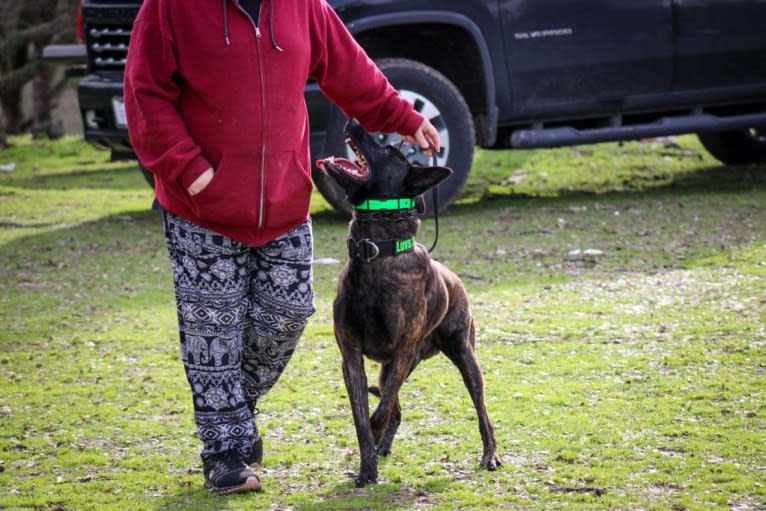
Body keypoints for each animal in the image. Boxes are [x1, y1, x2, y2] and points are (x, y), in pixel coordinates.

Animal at [318, 120, 504, 488]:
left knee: (482, 412)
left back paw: (490, 455)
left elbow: (378, 413)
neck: (375, 252)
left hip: (464, 357)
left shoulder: (402, 350)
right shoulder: (352, 357)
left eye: (389, 149)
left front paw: (372, 443)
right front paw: (367, 468)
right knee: (396, 407)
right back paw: (384, 447)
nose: (353, 121)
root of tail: (456, 279)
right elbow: (365, 415)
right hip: (390, 366)